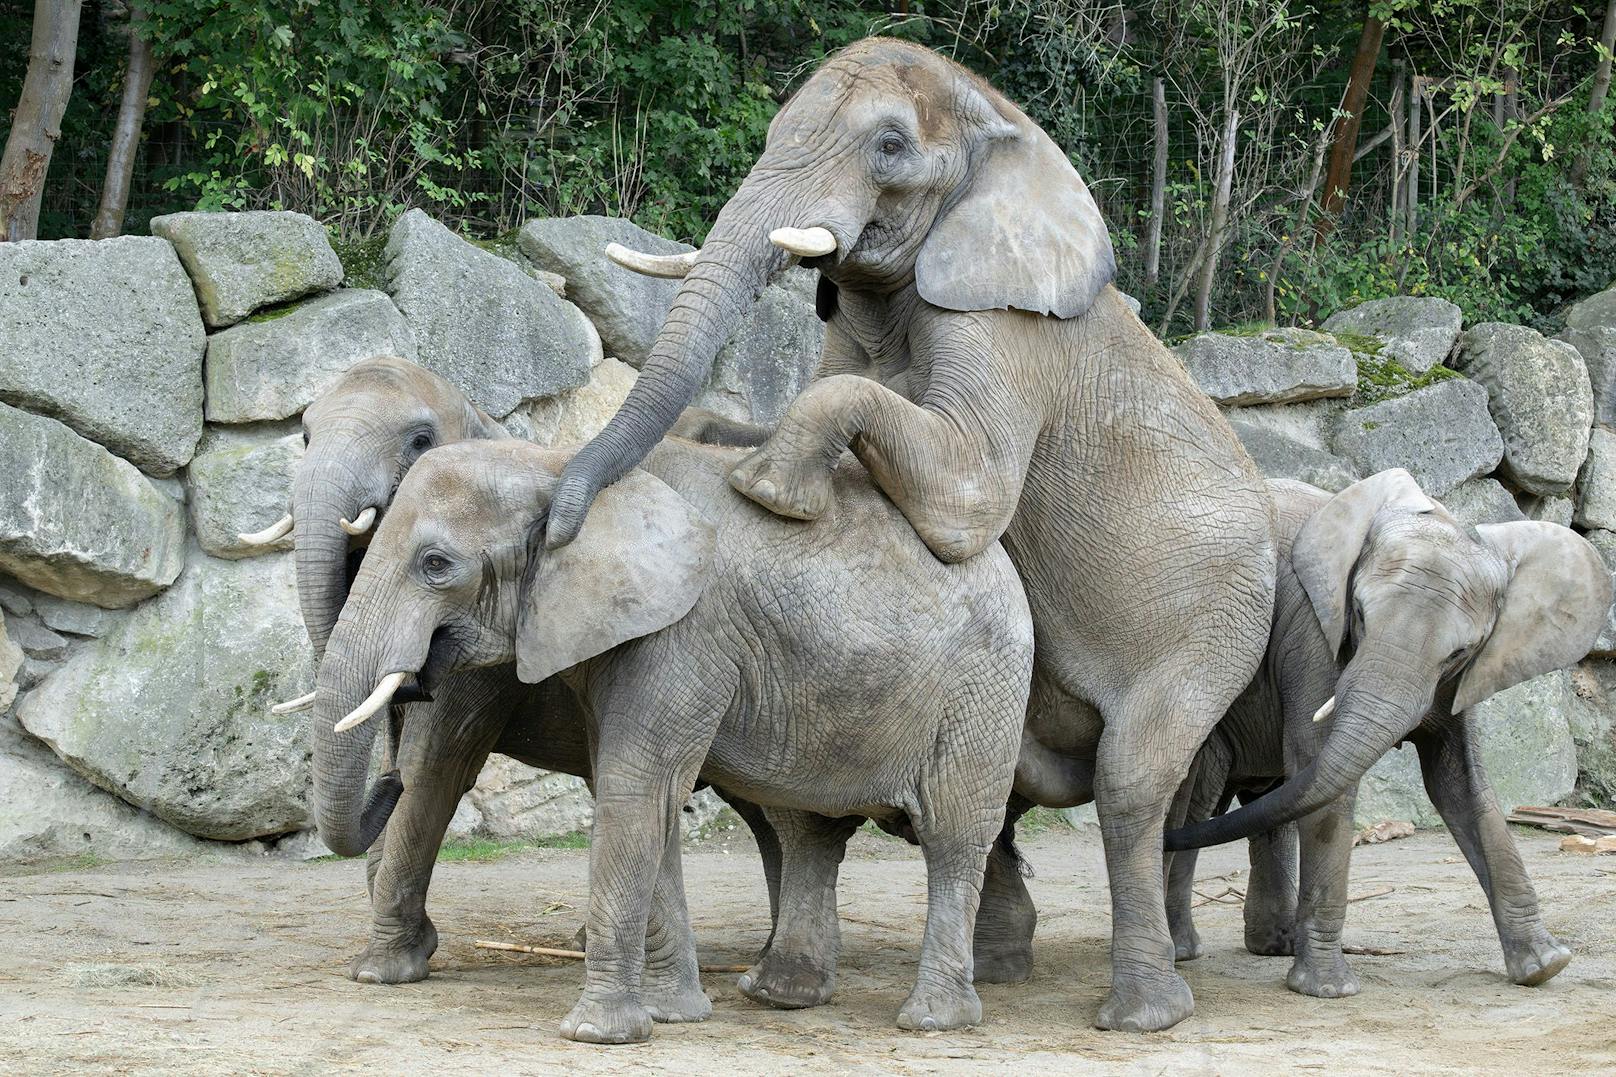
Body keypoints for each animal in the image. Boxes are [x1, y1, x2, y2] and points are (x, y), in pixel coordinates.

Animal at [307, 430, 1027, 1041]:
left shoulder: (684, 634)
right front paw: (672, 1015)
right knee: (810, 828)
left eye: (436, 563)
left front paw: (597, 1034)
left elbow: (636, 788)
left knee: (954, 835)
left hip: (983, 694)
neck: (564, 466)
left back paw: (933, 1020)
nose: (386, 779)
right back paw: (779, 994)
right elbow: (642, 793)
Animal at [542, 33, 1273, 1028]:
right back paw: (983, 971)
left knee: (1130, 780)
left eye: (889, 146)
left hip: (1218, 616)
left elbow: (968, 496)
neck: (1001, 123)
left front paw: (767, 490)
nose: (556, 520)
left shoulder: (1005, 326)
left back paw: (1141, 1011)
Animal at [1163, 475, 1616, 996]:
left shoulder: (1464, 679)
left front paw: (1545, 966)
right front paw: (1327, 991)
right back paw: (1184, 952)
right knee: (1202, 797)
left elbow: (1460, 784)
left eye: (1460, 652)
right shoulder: (1314, 634)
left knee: (1266, 800)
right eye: (1359, 613)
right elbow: (1321, 775)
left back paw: (1273, 946)